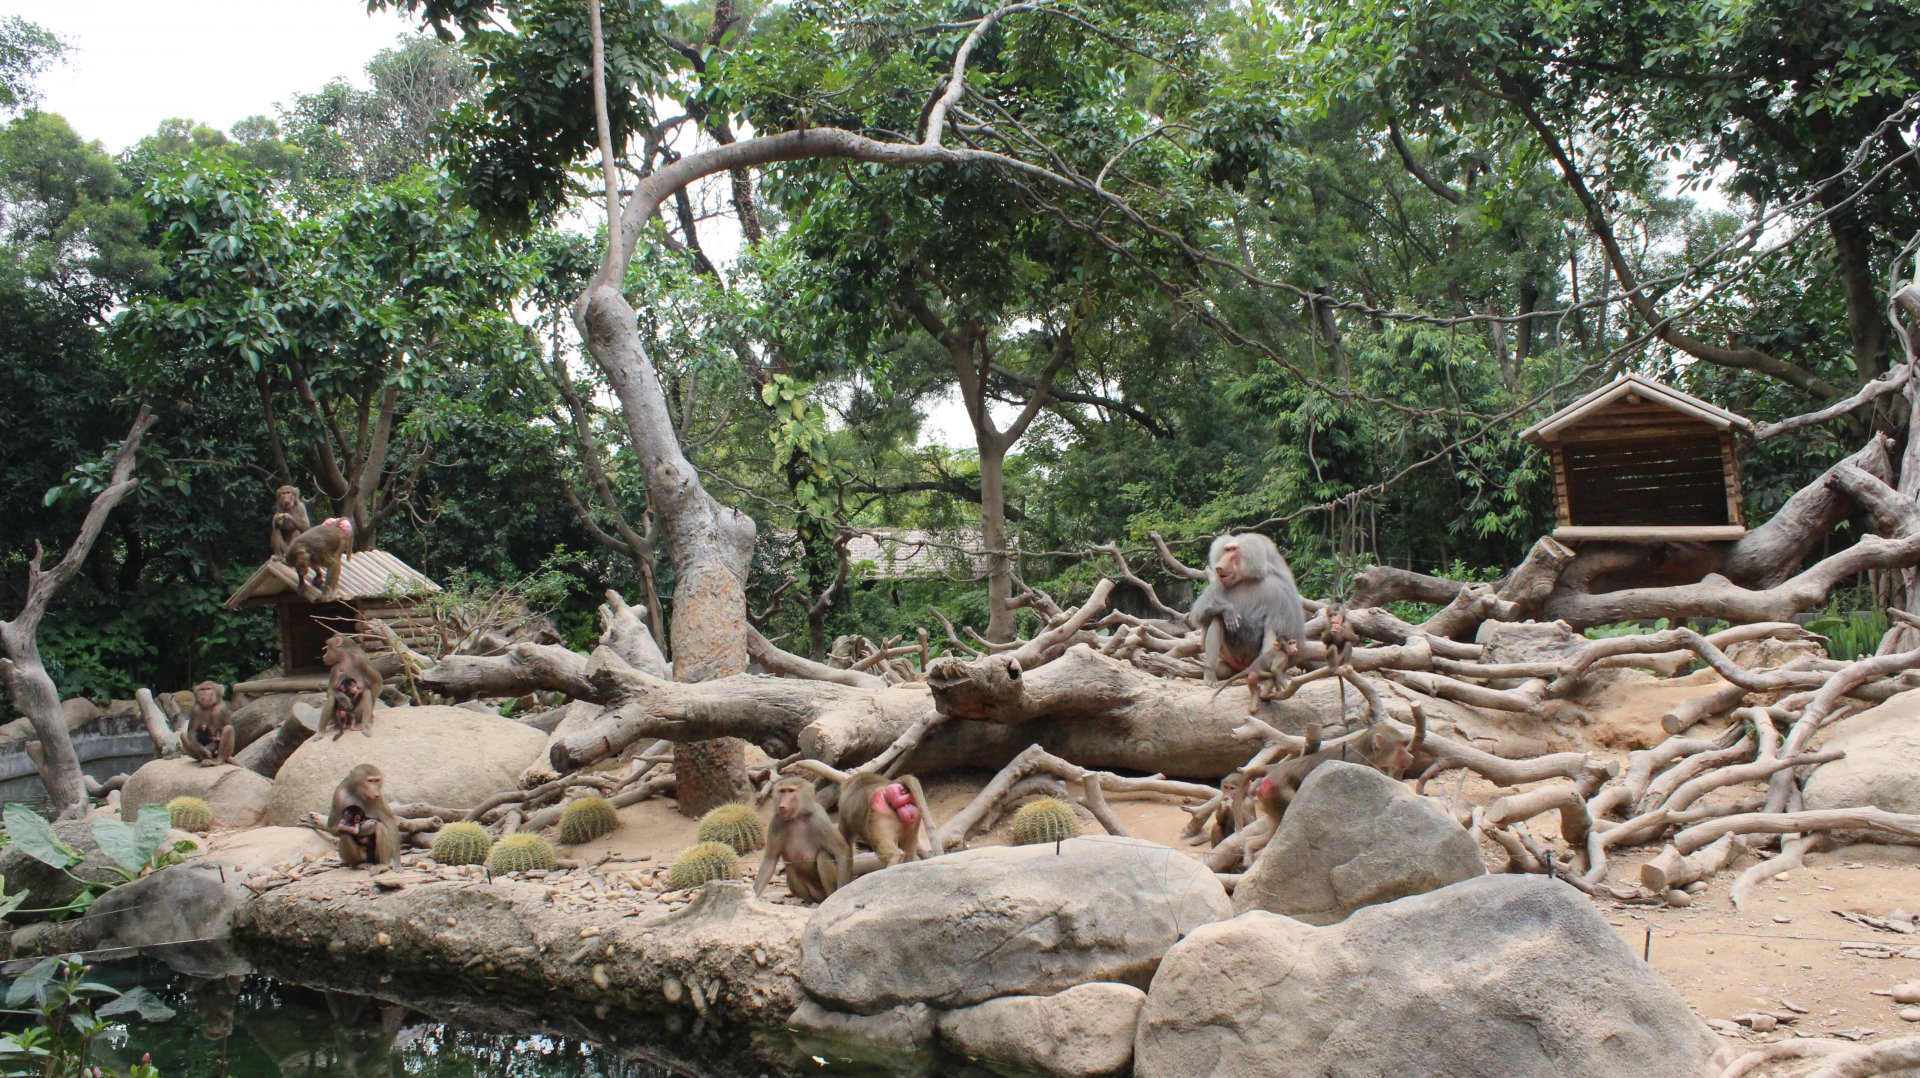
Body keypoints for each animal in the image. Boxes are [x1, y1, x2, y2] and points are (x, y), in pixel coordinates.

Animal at [755, 775, 853, 903]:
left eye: (791, 791)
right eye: (782, 791)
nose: (782, 805)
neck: (796, 817)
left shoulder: (819, 820)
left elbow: (841, 851)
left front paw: (840, 891)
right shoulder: (776, 823)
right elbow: (770, 861)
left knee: (823, 855)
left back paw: (828, 897)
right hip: (812, 894)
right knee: (790, 867)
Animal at [1188, 532, 1307, 690]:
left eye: (1233, 550)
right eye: (1226, 550)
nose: (1219, 567)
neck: (1245, 579)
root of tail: (1243, 668)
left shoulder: (1278, 590)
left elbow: (1279, 625)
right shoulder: (1219, 585)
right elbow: (1201, 613)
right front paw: (1229, 610)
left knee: (1271, 628)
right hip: (1228, 659)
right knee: (1217, 618)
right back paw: (1210, 674)